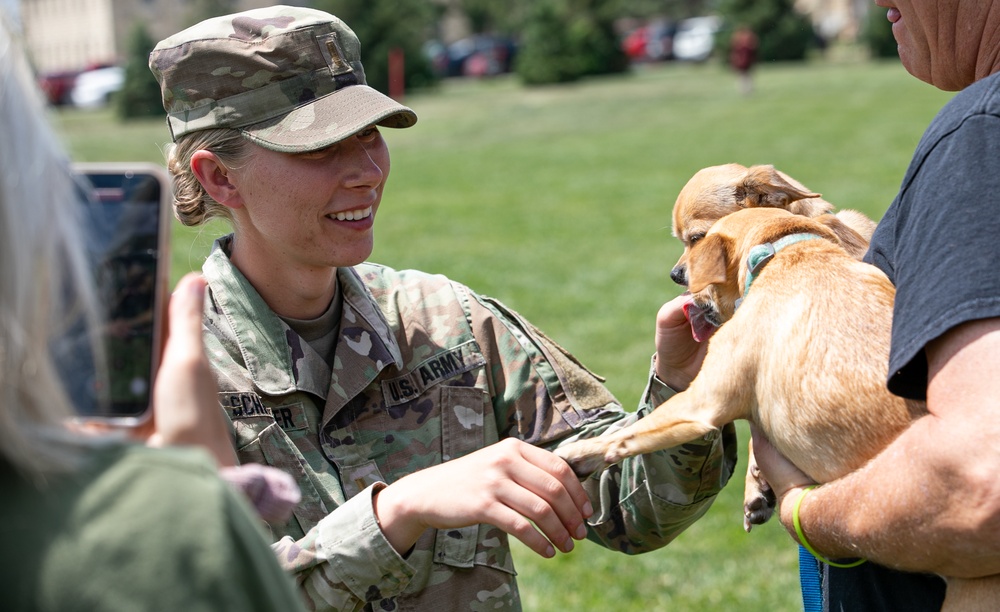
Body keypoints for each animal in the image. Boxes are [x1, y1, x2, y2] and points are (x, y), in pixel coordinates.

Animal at [560, 207, 996, 612]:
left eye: (695, 249)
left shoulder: (703, 402)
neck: (783, 251)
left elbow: (628, 434)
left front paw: (577, 455)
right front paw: (757, 489)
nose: (676, 275)